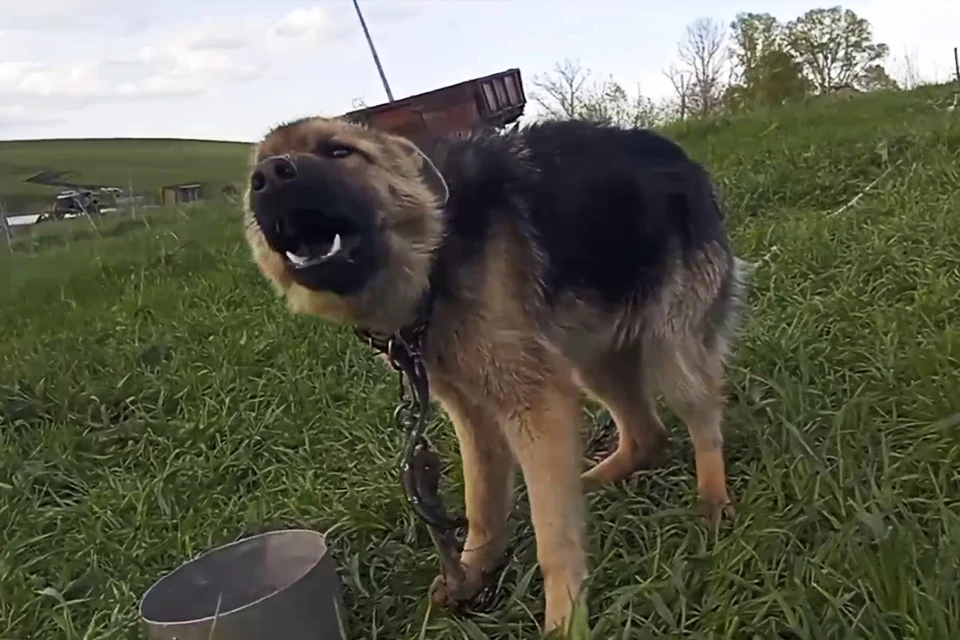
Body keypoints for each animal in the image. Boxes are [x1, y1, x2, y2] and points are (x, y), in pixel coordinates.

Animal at [244, 116, 748, 636]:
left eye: (339, 151)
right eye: (257, 174)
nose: (270, 176)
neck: (436, 250)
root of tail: (678, 155)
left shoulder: (535, 401)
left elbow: (553, 537)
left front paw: (565, 618)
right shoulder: (473, 412)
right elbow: (481, 503)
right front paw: (472, 573)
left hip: (673, 350)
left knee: (702, 421)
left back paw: (712, 499)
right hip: (592, 360)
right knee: (646, 434)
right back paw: (590, 480)